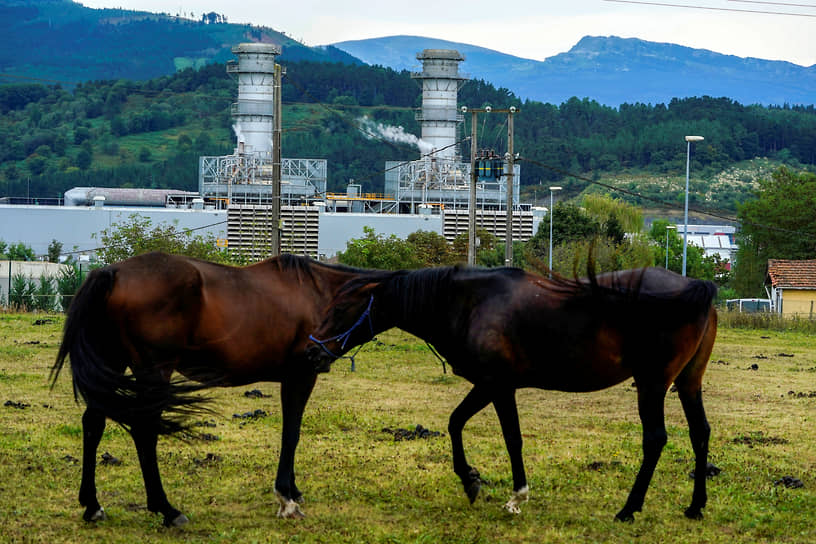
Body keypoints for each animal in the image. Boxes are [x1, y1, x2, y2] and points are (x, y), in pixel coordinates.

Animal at [51, 252, 366, 528]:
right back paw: (167, 509)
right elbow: (291, 434)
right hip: (152, 373)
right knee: (144, 431)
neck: (318, 291)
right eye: (337, 309)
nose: (317, 348)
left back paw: (92, 506)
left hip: (111, 364)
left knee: (93, 424)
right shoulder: (301, 377)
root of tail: (112, 272)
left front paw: (292, 490)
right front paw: (287, 497)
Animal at [310, 266, 716, 520]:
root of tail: (696, 286)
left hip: (651, 384)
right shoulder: (487, 385)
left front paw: (516, 496)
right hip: (688, 383)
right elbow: (455, 422)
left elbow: (511, 438)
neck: (470, 302)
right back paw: (695, 506)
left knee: (655, 439)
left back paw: (629, 509)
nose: (314, 352)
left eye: (343, 307)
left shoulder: (498, 385)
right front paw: (470, 480)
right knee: (699, 434)